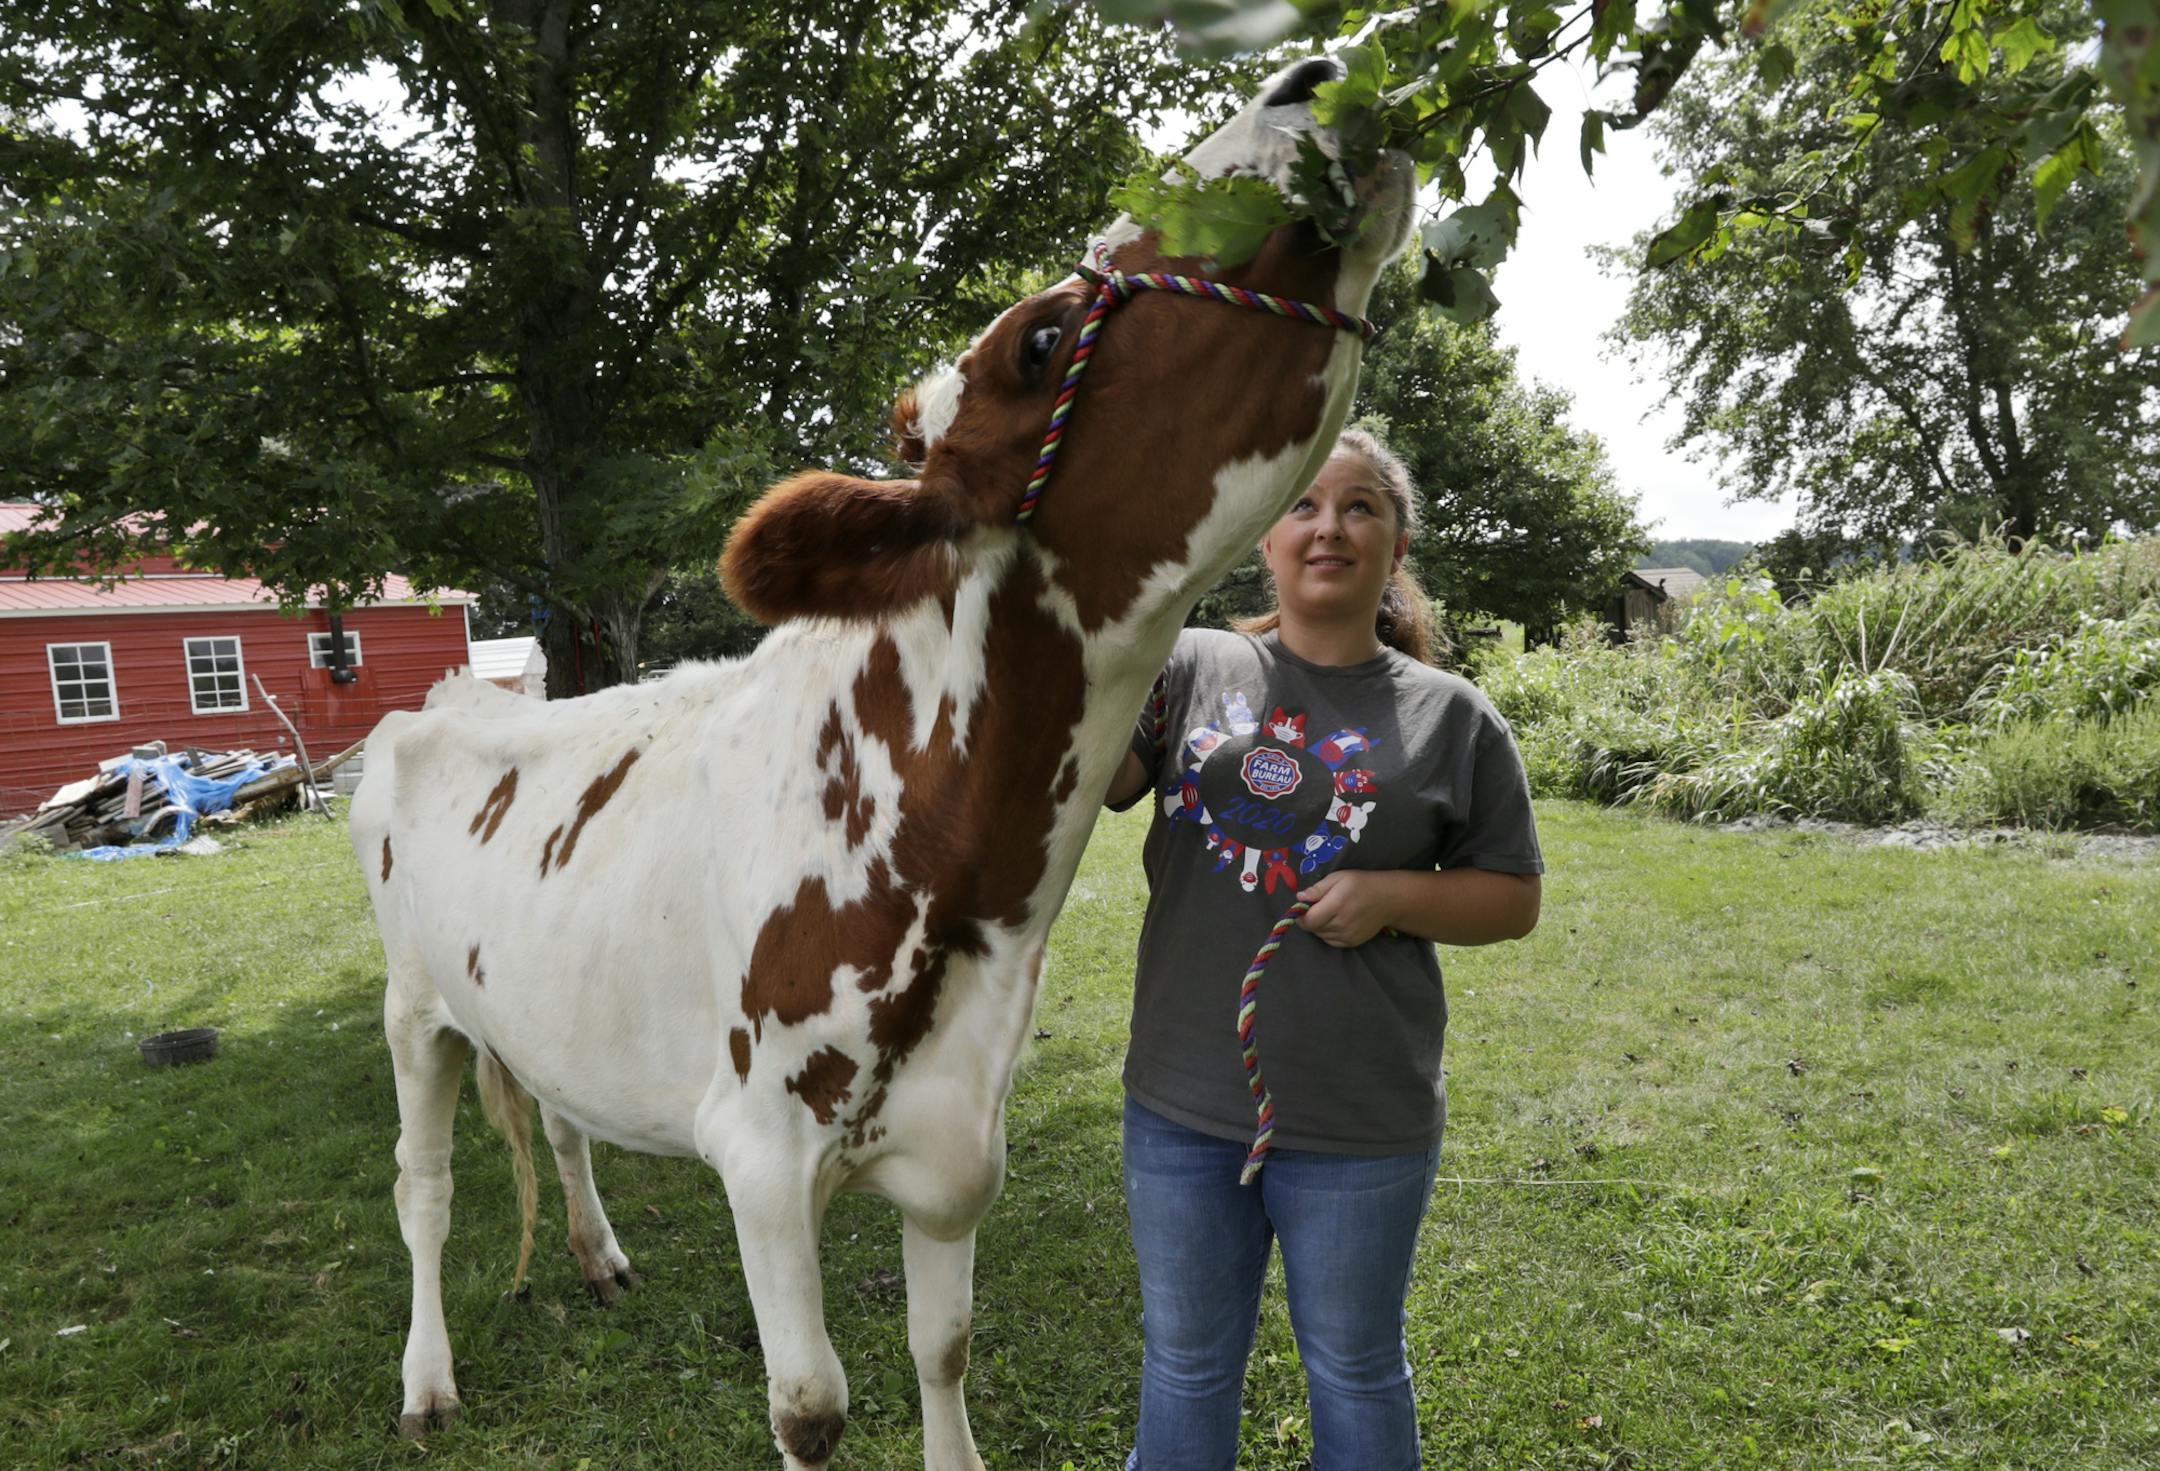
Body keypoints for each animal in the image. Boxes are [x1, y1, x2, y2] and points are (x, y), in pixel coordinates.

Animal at [350, 55, 1414, 1471]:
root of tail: (448, 695)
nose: (1311, 73)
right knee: (419, 1190)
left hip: (528, 996)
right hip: (411, 1003)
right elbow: (810, 1409)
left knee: (563, 1116)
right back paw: (424, 1377)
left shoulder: (961, 1150)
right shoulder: (760, 1156)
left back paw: (597, 1253)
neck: (964, 886)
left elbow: (942, 1347)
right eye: (1041, 340)